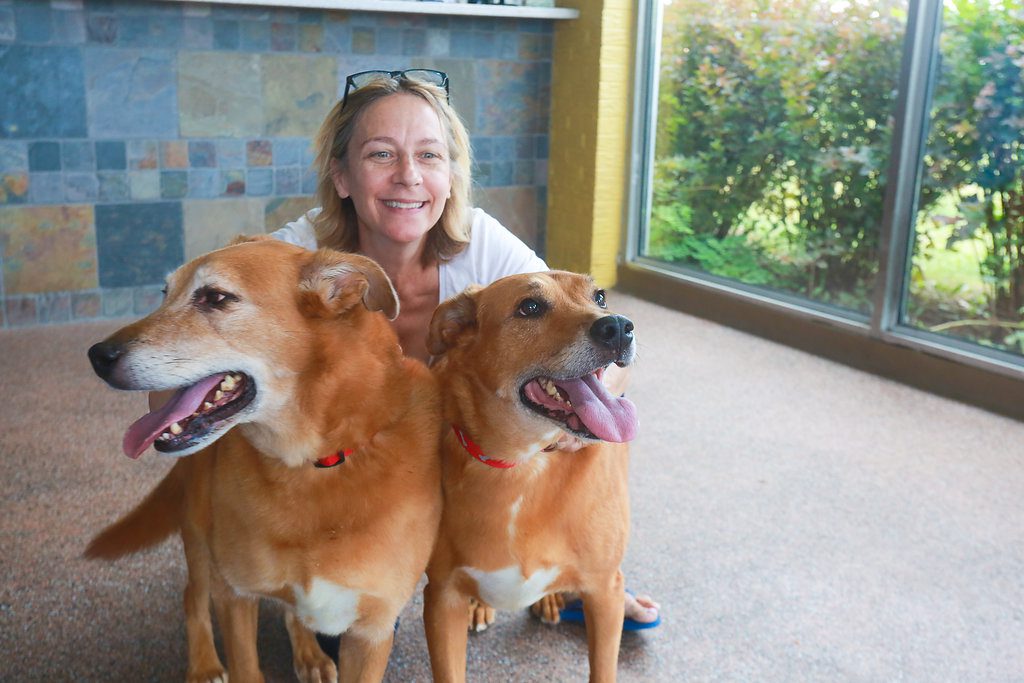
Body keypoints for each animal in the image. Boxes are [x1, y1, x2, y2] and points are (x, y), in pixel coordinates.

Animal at [82, 239, 440, 683]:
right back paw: (203, 664)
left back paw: (308, 653)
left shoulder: (370, 631)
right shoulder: (234, 594)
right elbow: (244, 664)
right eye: (165, 294)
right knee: (192, 596)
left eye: (216, 298)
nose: (97, 356)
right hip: (200, 538)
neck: (311, 466)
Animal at [419, 272, 634, 683]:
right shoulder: (441, 598)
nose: (619, 326)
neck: (524, 464)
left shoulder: (606, 591)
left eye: (600, 297)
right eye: (530, 307)